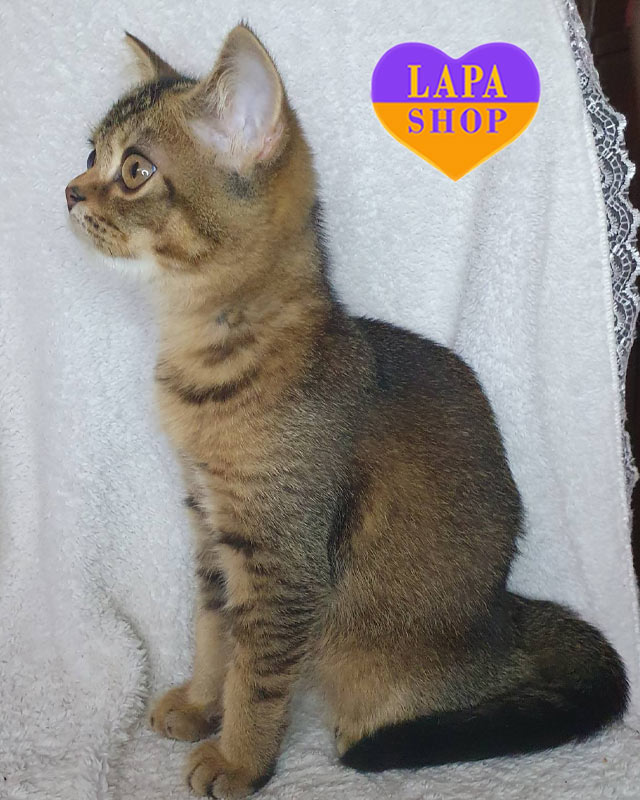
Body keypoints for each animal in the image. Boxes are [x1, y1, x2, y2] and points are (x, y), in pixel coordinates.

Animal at [65, 24, 628, 799]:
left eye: (136, 170)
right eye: (92, 154)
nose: (68, 191)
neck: (210, 353)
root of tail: (502, 614)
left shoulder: (283, 556)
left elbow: (257, 675)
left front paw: (237, 759)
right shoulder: (213, 533)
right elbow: (213, 635)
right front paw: (201, 704)